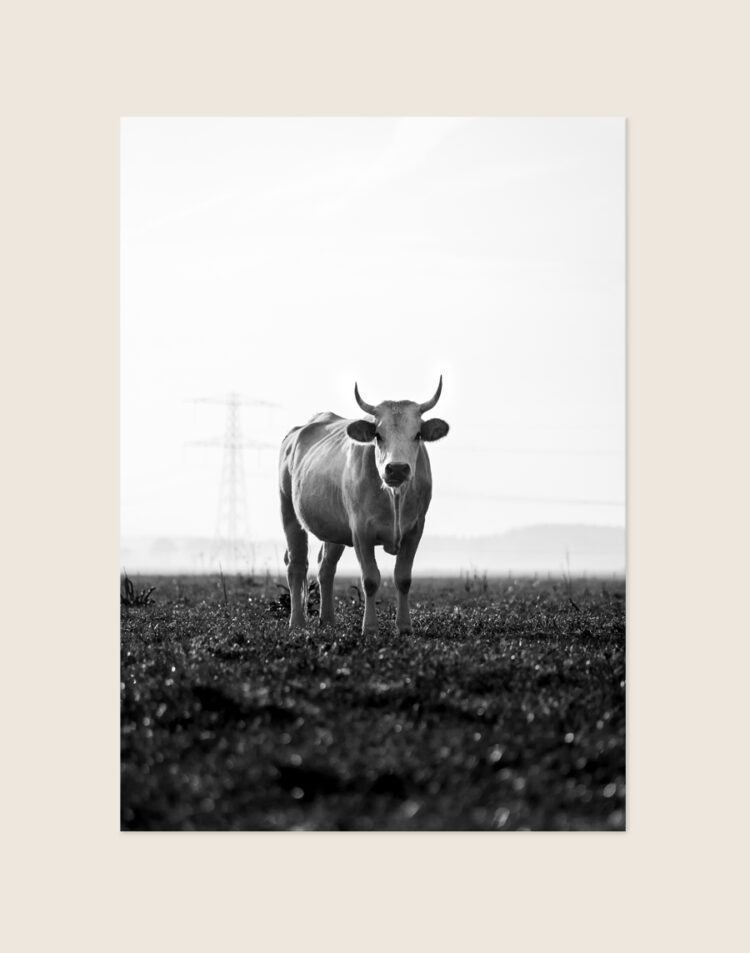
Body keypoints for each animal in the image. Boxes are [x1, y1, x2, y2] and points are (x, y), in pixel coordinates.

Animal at [279, 377, 450, 635]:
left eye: (418, 434)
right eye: (378, 435)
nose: (397, 469)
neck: (394, 496)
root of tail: (297, 431)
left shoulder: (415, 530)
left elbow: (403, 578)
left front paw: (404, 626)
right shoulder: (361, 531)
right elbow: (370, 579)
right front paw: (369, 627)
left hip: (335, 528)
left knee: (326, 567)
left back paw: (328, 619)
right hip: (289, 512)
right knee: (297, 564)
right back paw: (297, 622)